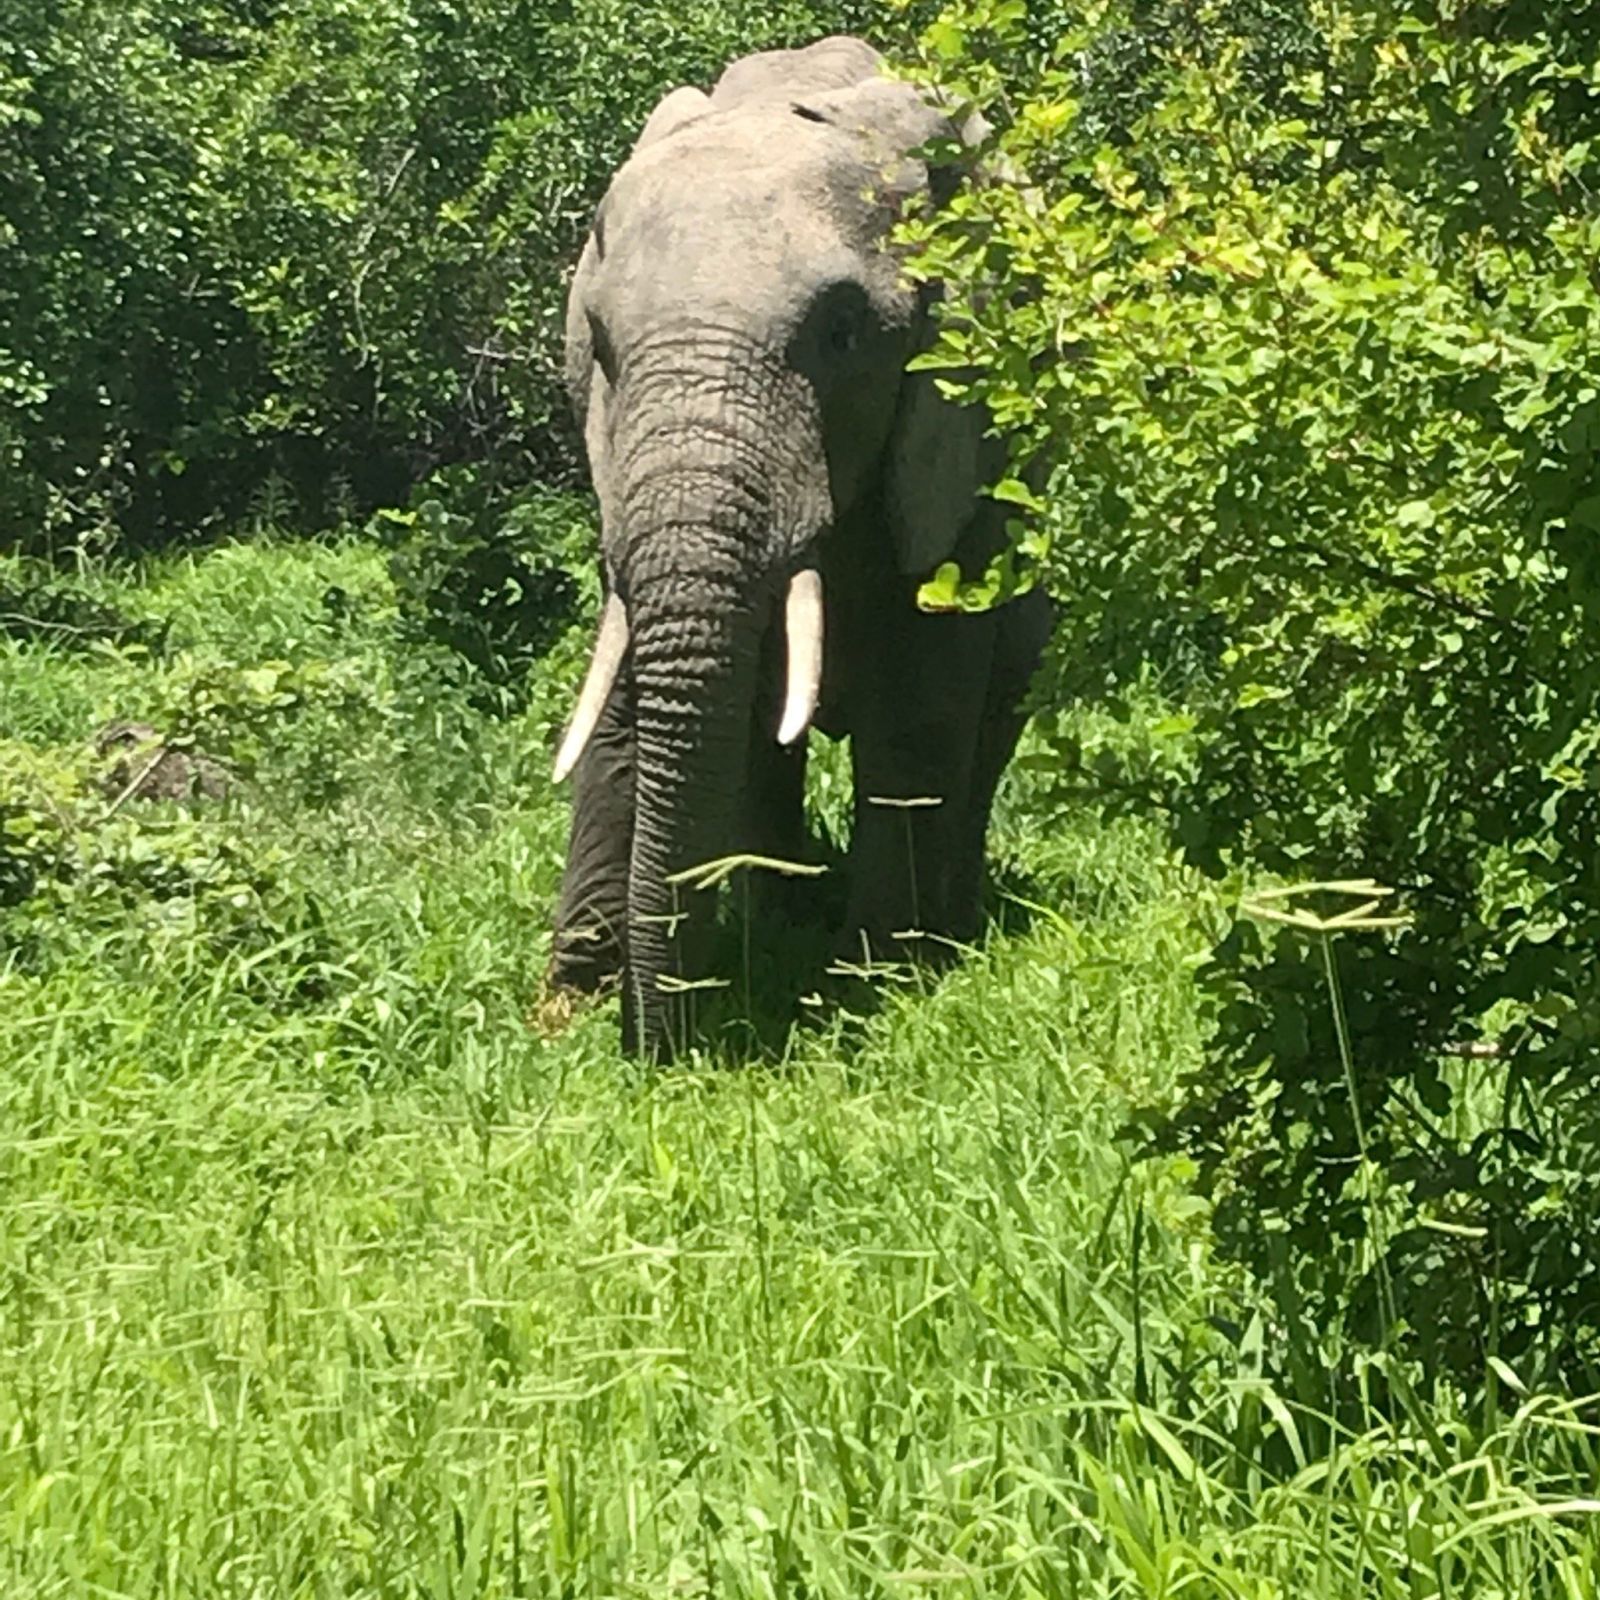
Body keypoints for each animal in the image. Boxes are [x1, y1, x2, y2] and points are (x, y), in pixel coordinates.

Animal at [546, 35, 1053, 1055]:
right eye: (600, 347)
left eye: (843, 334)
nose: (659, 1055)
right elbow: (623, 687)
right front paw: (571, 1002)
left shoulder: (962, 424)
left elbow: (922, 683)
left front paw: (884, 982)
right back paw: (780, 915)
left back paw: (943, 925)